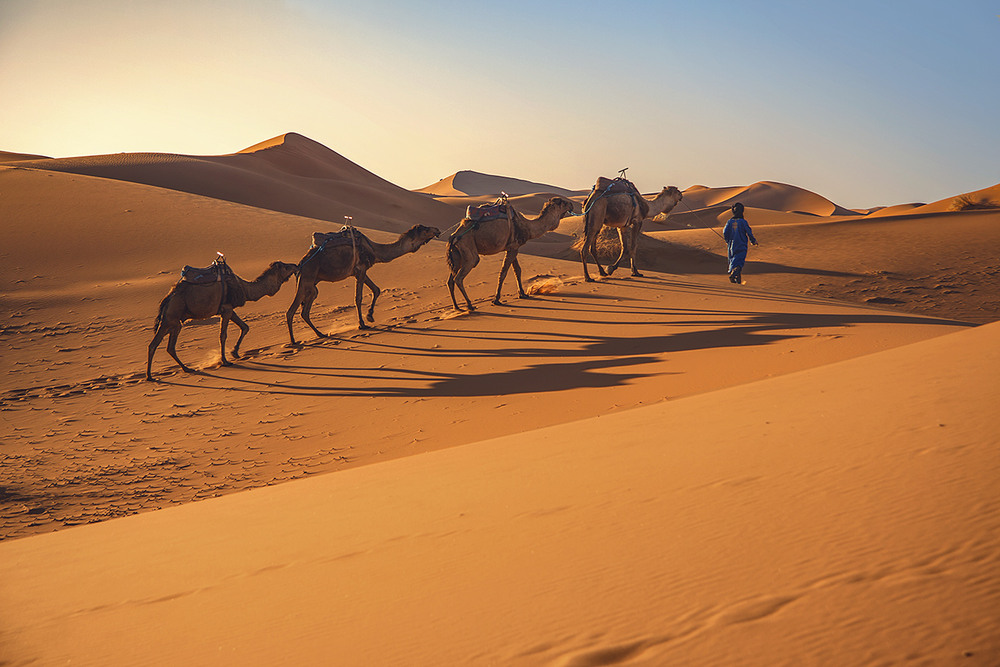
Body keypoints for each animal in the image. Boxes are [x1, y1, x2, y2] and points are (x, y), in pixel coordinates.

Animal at [145, 260, 298, 378]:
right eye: (285, 267)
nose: (295, 265)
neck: (244, 288)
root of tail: (168, 297)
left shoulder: (229, 309)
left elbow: (245, 327)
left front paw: (235, 352)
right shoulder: (227, 309)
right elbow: (223, 335)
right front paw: (225, 361)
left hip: (172, 322)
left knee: (164, 346)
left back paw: (181, 369)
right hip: (172, 318)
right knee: (160, 345)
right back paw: (153, 375)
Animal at [286, 227, 438, 348]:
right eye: (425, 229)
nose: (437, 229)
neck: (375, 250)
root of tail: (301, 263)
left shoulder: (360, 272)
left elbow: (376, 289)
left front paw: (370, 316)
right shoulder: (361, 269)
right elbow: (358, 298)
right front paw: (362, 324)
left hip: (312, 284)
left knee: (305, 310)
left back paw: (320, 334)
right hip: (306, 278)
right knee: (291, 310)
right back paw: (294, 341)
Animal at [448, 196, 576, 310]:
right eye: (562, 202)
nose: (571, 204)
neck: (527, 227)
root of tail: (453, 236)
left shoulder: (512, 247)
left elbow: (517, 270)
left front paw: (522, 294)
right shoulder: (513, 247)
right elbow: (504, 272)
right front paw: (496, 299)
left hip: (457, 255)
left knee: (450, 280)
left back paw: (457, 307)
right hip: (468, 249)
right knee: (459, 277)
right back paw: (470, 305)